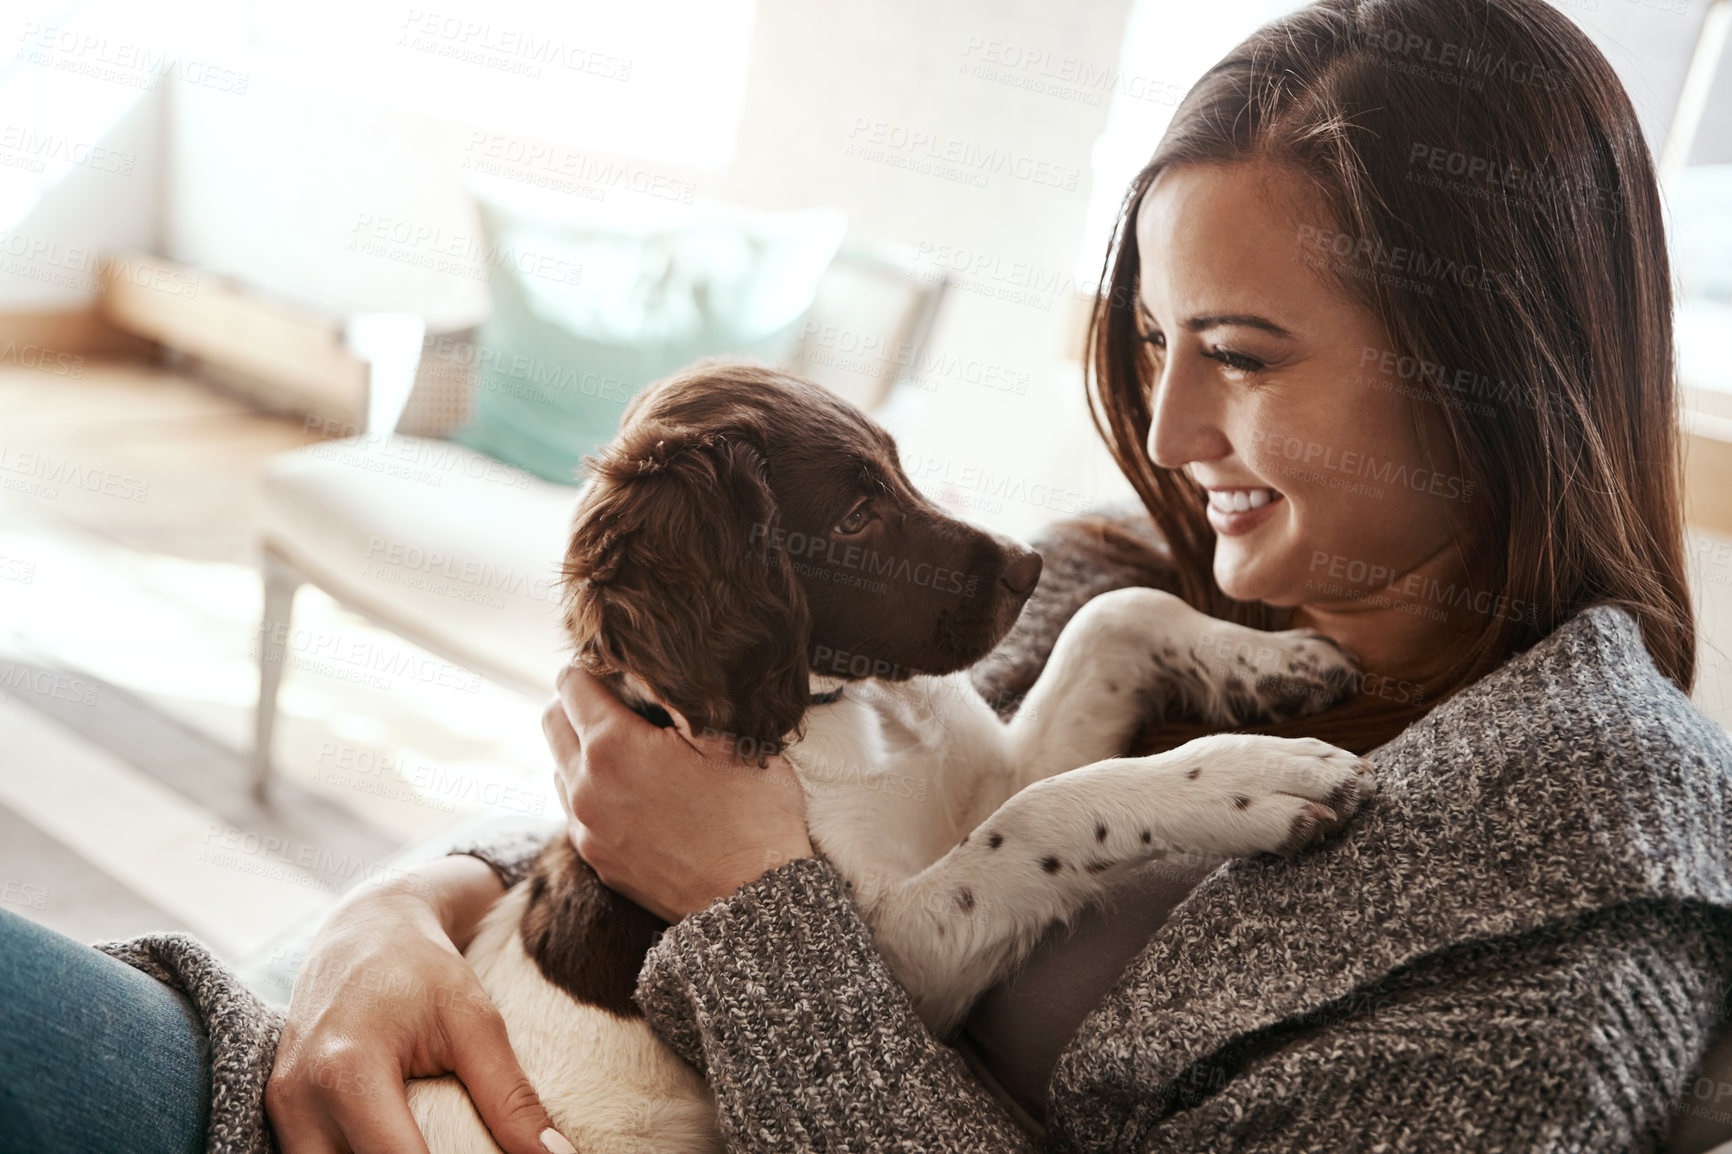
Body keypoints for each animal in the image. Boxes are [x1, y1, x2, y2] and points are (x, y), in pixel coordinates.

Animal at [398, 362, 1371, 1150]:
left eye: (899, 466)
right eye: (856, 518)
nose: (1027, 568)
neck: (854, 709)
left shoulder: (993, 778)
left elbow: (1115, 617)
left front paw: (1280, 664)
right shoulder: (905, 958)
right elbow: (1041, 815)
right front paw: (1258, 781)